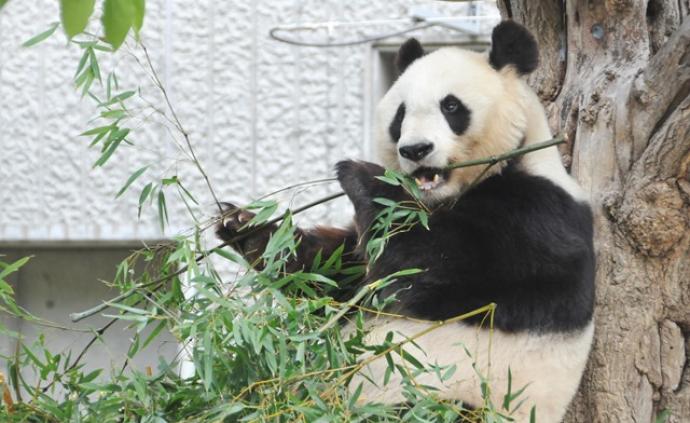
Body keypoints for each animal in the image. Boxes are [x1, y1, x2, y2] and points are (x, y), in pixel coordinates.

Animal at [218, 20, 592, 423]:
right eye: (400, 114)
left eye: (451, 106)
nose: (415, 150)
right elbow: (335, 274)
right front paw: (242, 224)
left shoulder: (537, 219)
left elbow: (421, 266)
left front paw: (361, 174)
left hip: (448, 403)